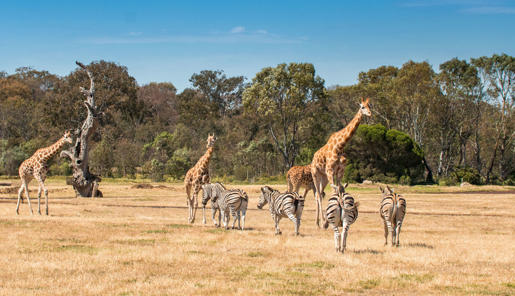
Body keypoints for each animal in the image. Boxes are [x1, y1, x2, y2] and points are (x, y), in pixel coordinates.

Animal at [310, 98, 370, 228]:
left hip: (324, 177)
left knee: (319, 194)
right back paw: (322, 221)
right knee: (318, 195)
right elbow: (335, 191)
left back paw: (317, 222)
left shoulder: (340, 171)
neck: (340, 146)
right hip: (316, 174)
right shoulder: (330, 170)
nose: (369, 113)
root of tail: (313, 158)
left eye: (370, 106)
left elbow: (340, 189)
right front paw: (328, 221)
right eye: (362, 107)